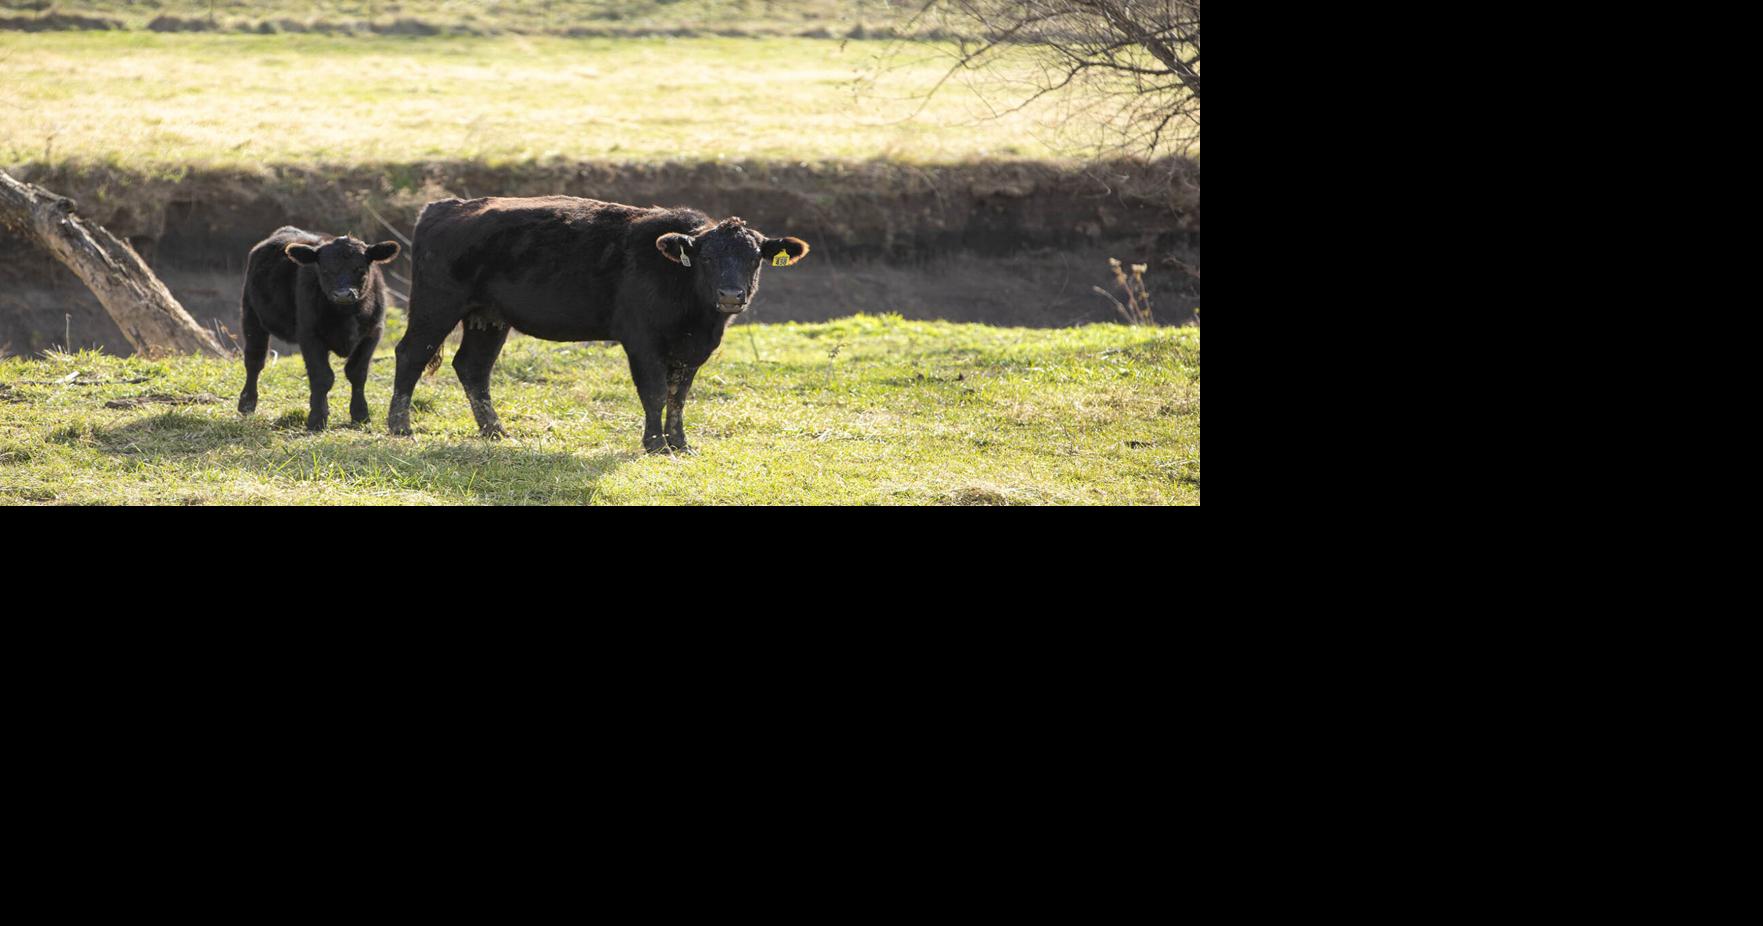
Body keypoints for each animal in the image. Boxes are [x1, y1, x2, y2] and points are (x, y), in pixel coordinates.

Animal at [237, 227, 400, 430]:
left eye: (360, 269)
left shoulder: (372, 333)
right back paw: (247, 403)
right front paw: (317, 419)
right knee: (254, 361)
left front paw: (360, 415)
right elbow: (322, 376)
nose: (343, 294)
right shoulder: (309, 335)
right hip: (251, 316)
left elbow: (357, 373)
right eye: (325, 270)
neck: (346, 315)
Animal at [387, 197, 808, 452]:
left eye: (754, 258)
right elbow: (655, 393)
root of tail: (445, 206)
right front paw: (655, 444)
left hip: (488, 316)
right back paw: (400, 426)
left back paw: (495, 431)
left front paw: (680, 443)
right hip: (436, 305)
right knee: (411, 354)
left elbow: (679, 396)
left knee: (473, 367)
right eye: (706, 258)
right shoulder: (641, 341)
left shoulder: (691, 349)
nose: (731, 295)